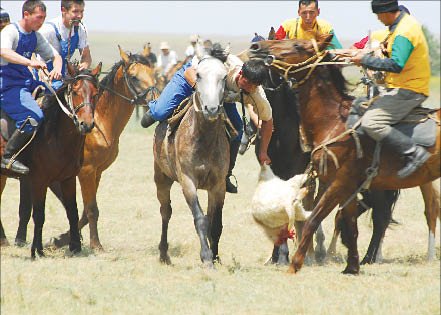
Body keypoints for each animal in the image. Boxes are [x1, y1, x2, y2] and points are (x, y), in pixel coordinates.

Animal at [0, 63, 101, 258]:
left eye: (95, 93)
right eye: (75, 91)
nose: (86, 124)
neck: (53, 133)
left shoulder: (68, 178)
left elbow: (72, 211)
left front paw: (75, 246)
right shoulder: (39, 180)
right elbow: (39, 214)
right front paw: (37, 250)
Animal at [152, 56, 229, 266]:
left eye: (224, 77)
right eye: (199, 75)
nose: (211, 109)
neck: (203, 138)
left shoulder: (218, 186)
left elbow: (215, 223)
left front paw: (216, 256)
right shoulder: (188, 182)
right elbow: (200, 219)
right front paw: (206, 258)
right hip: (161, 179)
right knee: (165, 212)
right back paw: (163, 254)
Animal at [248, 36, 440, 274]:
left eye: (298, 45)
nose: (256, 48)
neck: (333, 122)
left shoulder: (339, 183)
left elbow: (313, 219)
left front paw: (295, 264)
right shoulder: (347, 187)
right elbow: (349, 226)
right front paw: (352, 267)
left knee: (418, 211)